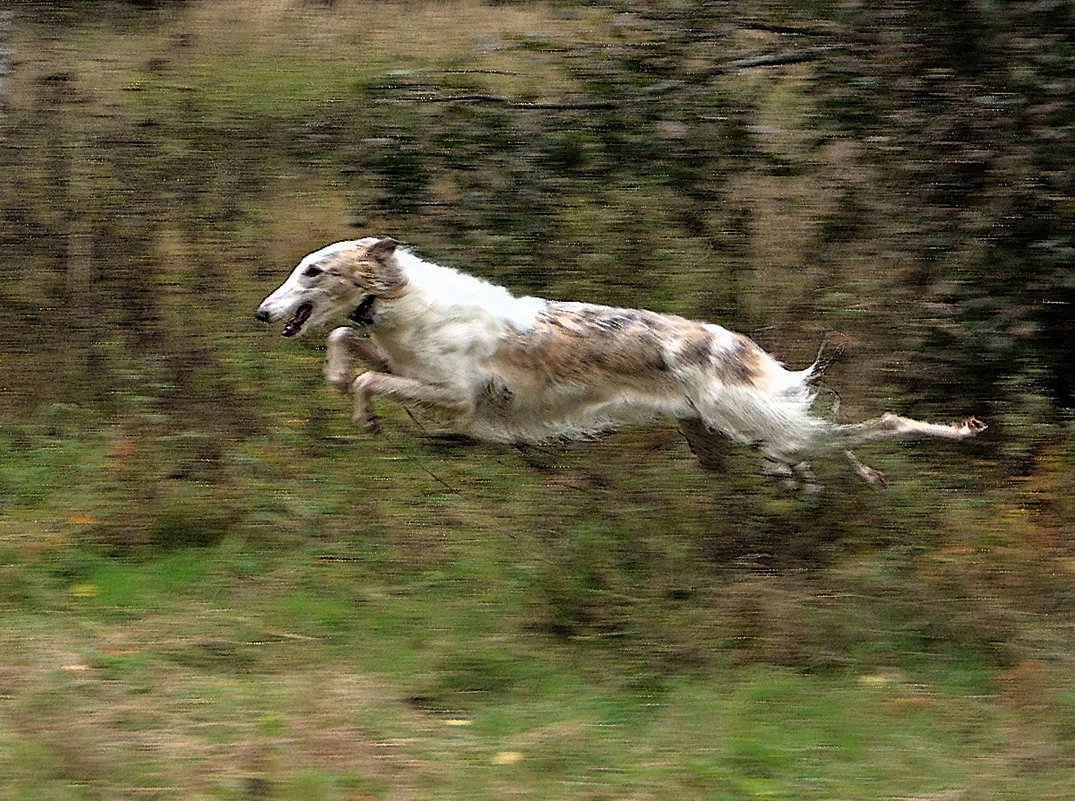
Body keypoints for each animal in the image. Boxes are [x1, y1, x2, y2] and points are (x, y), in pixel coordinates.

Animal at [255, 235, 984, 488]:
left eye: (313, 269)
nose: (262, 312)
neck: (407, 301)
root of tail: (740, 344)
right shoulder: (405, 364)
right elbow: (347, 349)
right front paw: (337, 377)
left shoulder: (459, 398)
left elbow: (370, 376)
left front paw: (364, 415)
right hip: (732, 436)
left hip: (760, 422)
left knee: (876, 424)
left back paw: (952, 430)